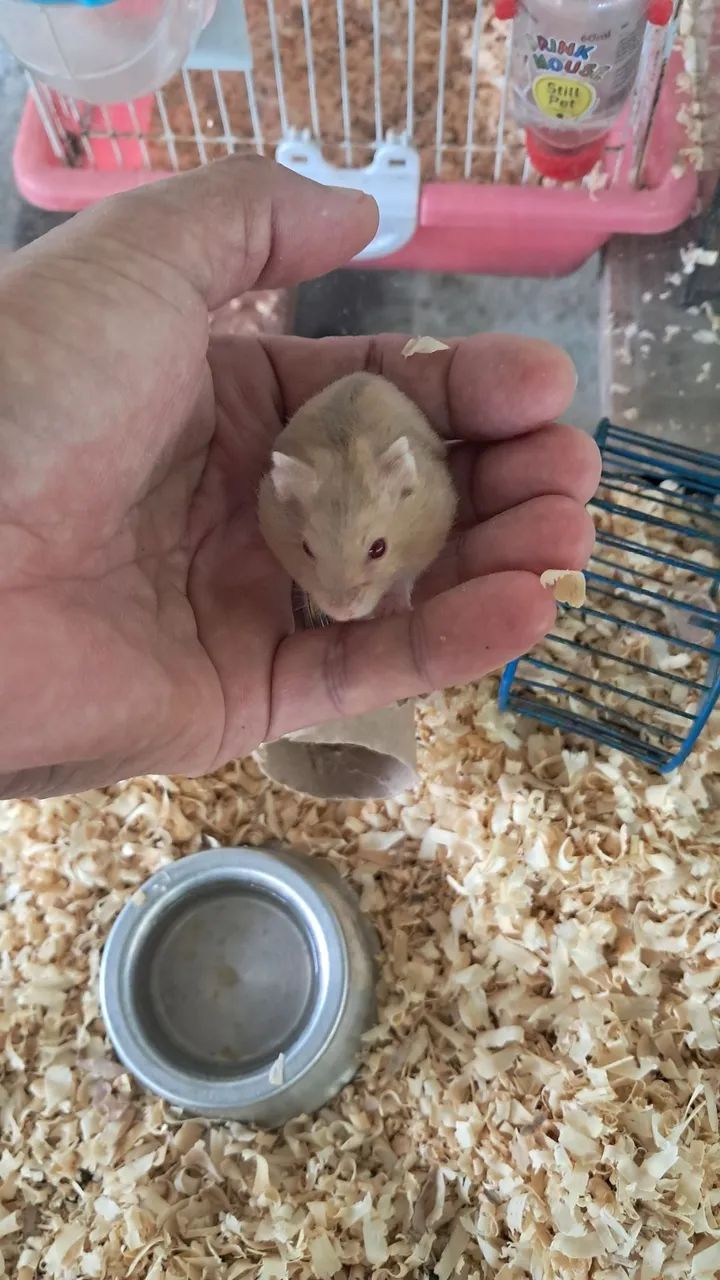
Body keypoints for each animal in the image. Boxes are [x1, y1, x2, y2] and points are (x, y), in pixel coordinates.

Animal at [257, 371, 457, 623]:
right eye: (306, 549)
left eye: (379, 548)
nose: (342, 613)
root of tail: (364, 374)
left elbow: (403, 578)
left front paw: (392, 610)